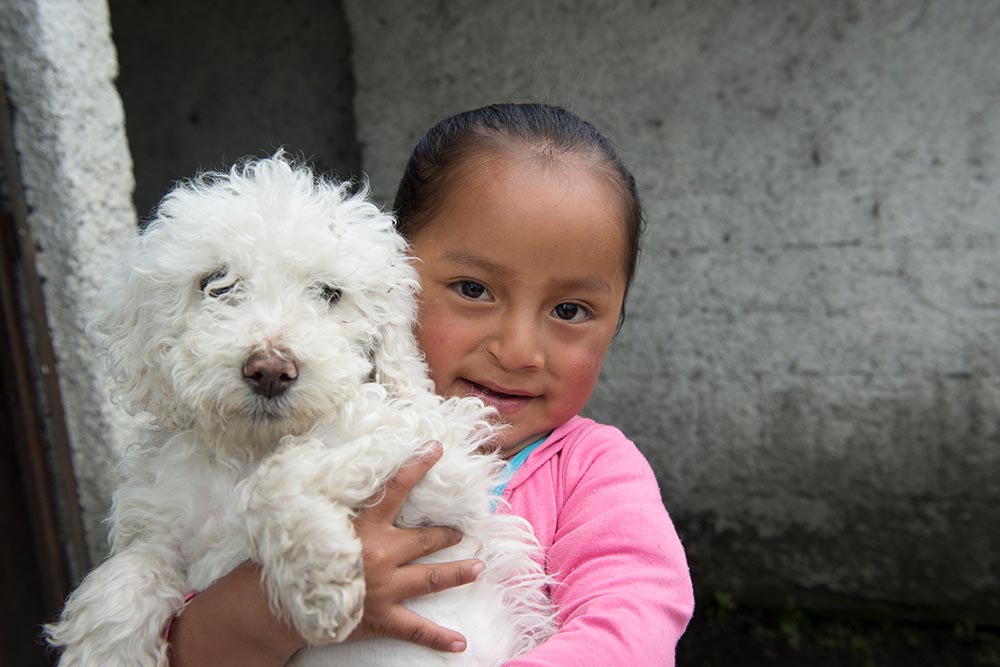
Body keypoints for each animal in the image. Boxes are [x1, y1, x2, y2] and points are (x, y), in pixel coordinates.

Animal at [47, 155, 556, 667]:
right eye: (215, 285)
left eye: (330, 293)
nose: (270, 371)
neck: (251, 448)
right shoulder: (164, 523)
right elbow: (128, 574)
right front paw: (105, 648)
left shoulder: (439, 470)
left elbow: (277, 476)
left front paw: (319, 576)